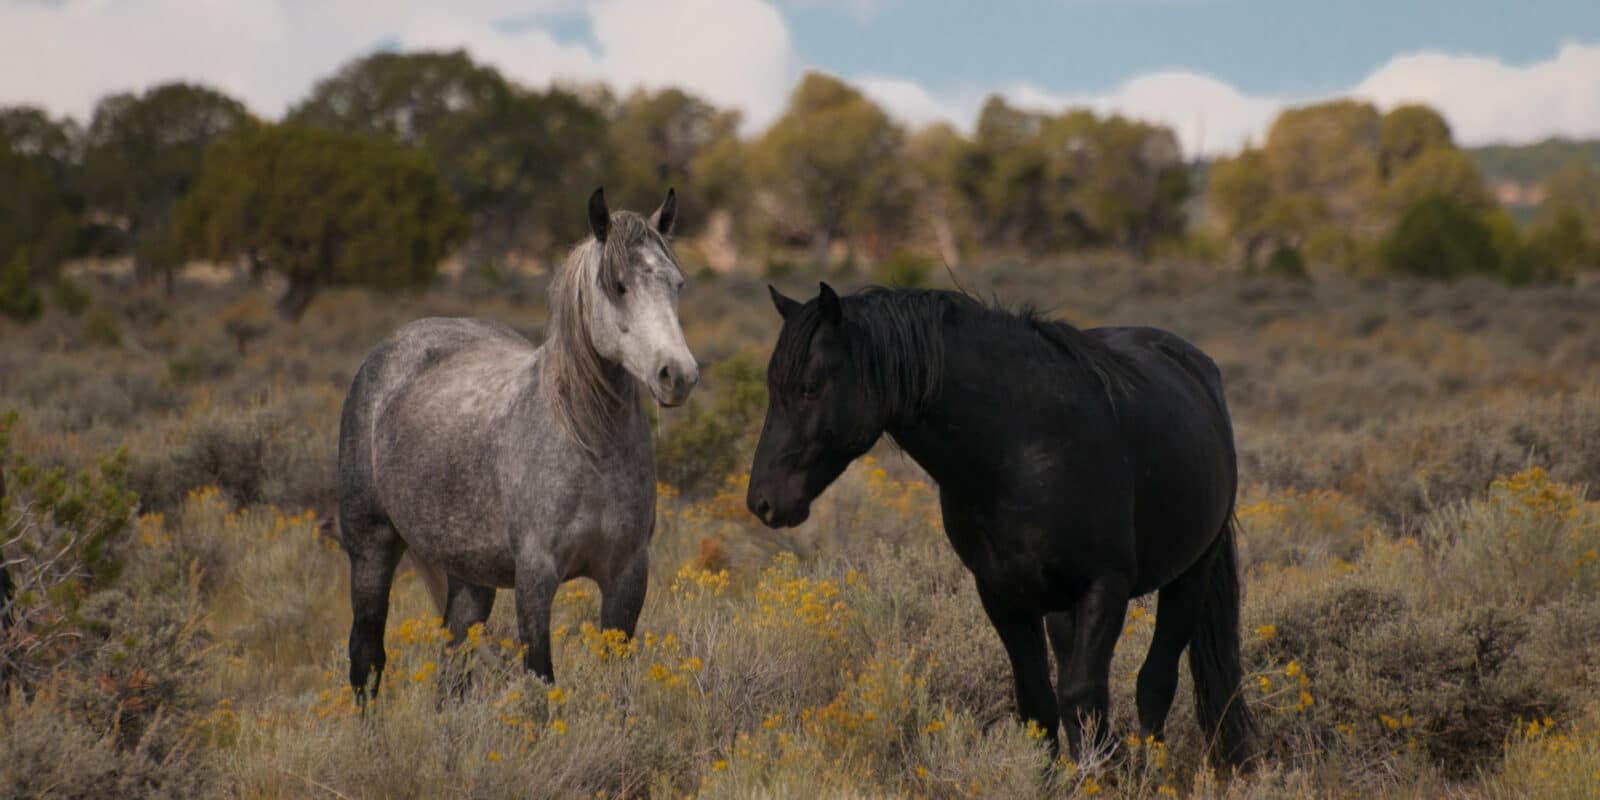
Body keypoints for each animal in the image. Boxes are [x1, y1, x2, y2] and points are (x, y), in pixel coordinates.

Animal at [337, 187, 694, 700]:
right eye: (618, 285)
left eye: (677, 284)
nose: (677, 375)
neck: (589, 446)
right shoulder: (535, 577)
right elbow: (541, 682)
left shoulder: (627, 575)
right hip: (371, 546)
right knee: (367, 656)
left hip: (468, 575)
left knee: (452, 667)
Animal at [742, 284, 1254, 764]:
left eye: (809, 386)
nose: (762, 501)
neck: (1022, 447)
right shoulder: (1002, 594)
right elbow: (1039, 703)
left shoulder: (1105, 588)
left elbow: (1082, 698)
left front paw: (1106, 773)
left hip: (1190, 575)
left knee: (1155, 683)